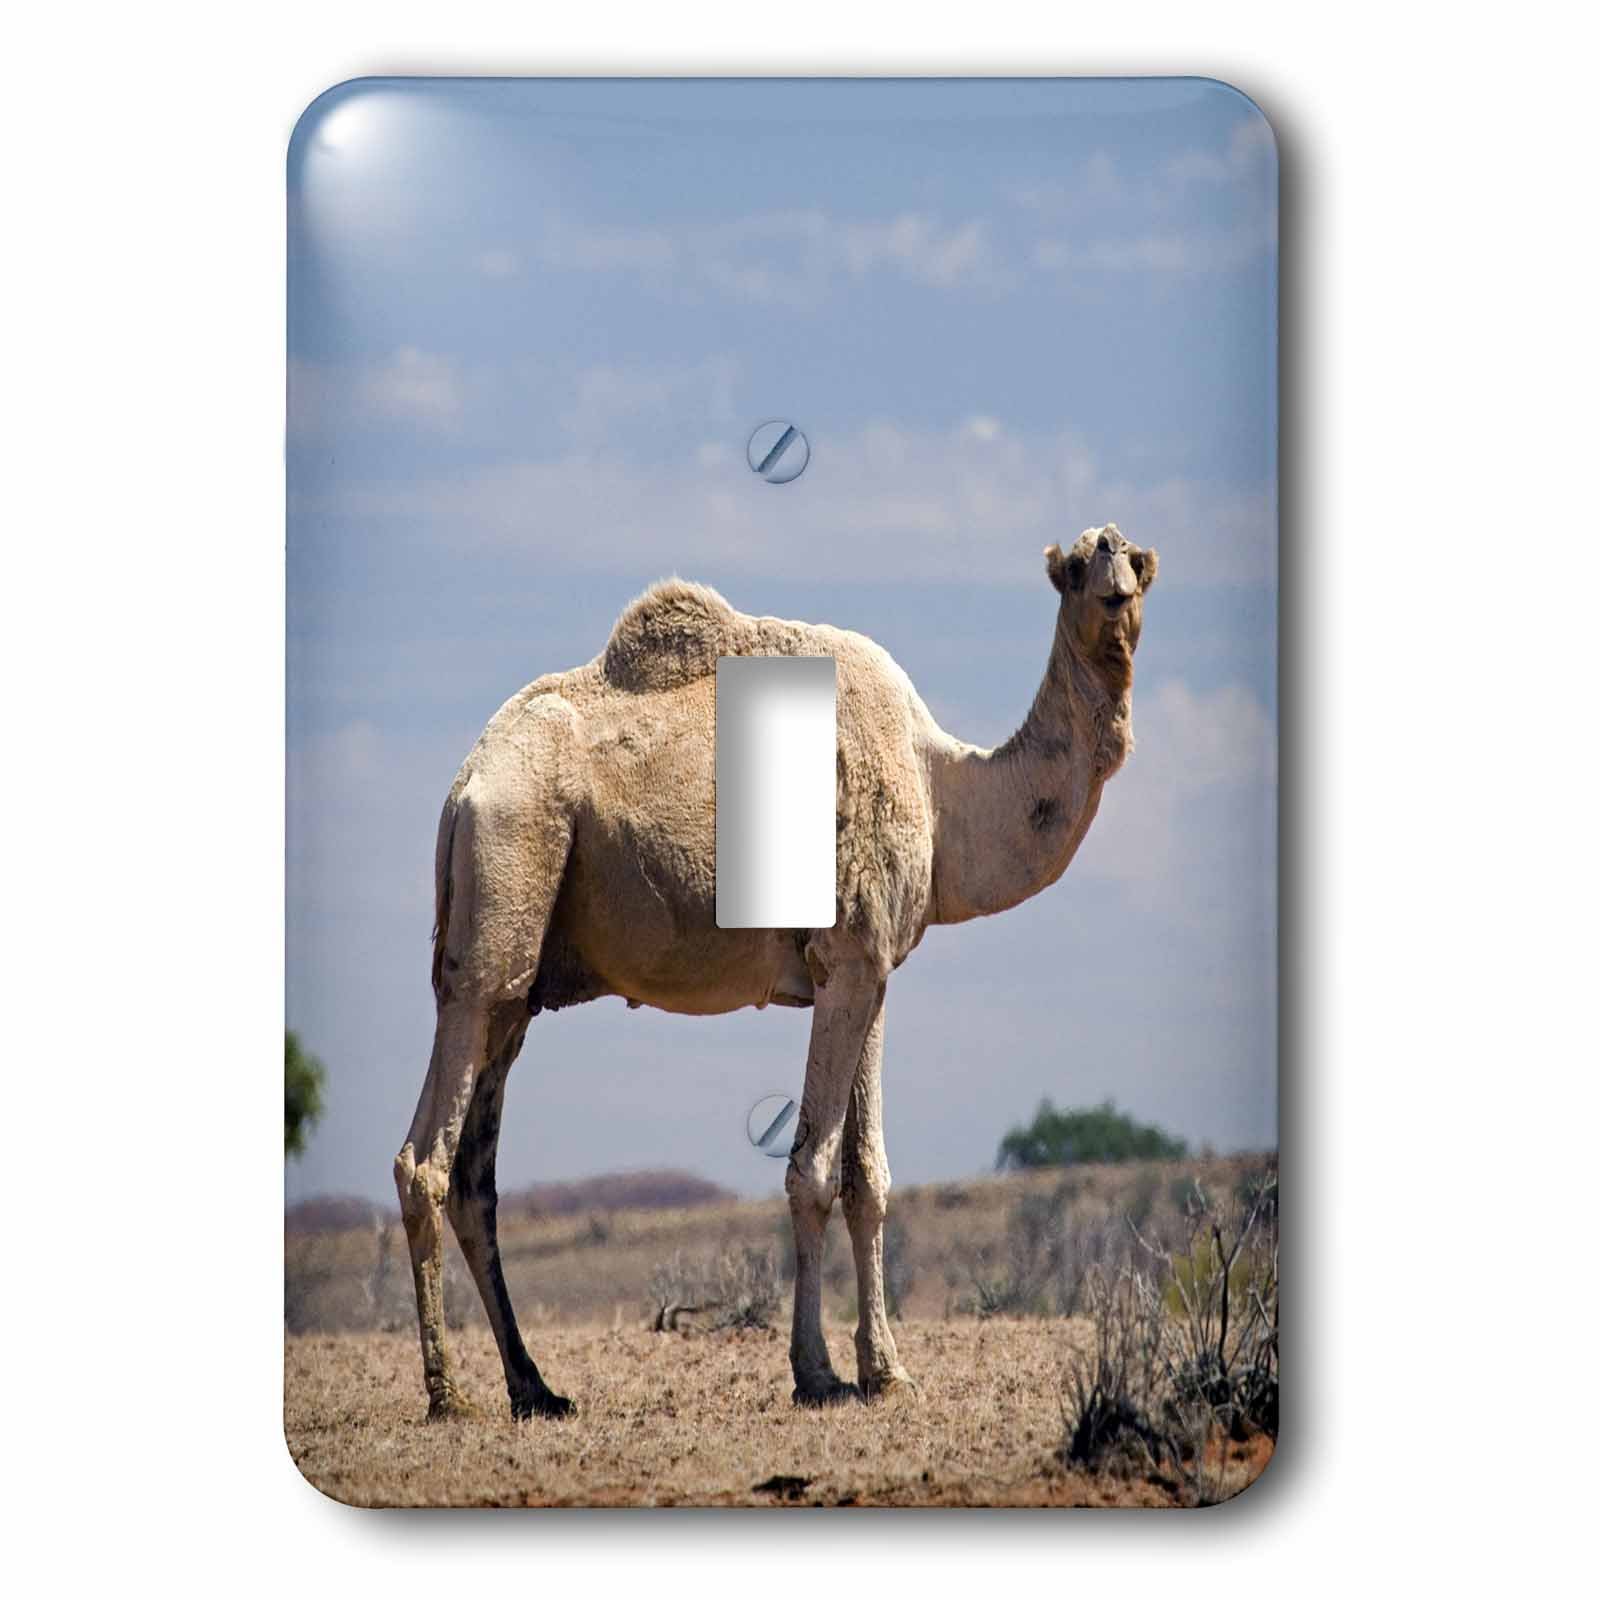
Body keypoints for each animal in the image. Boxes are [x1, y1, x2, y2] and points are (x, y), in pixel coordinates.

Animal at [395, 523, 1158, 1420]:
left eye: (1135, 561)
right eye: (1076, 566)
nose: (1112, 572)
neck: (943, 789)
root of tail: (462, 789)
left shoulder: (869, 970)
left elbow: (869, 1179)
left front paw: (887, 1371)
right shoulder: (851, 955)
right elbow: (813, 1172)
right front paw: (819, 1373)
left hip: (519, 958)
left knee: (476, 1176)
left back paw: (535, 1386)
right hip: (506, 869)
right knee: (427, 1155)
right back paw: (449, 1395)